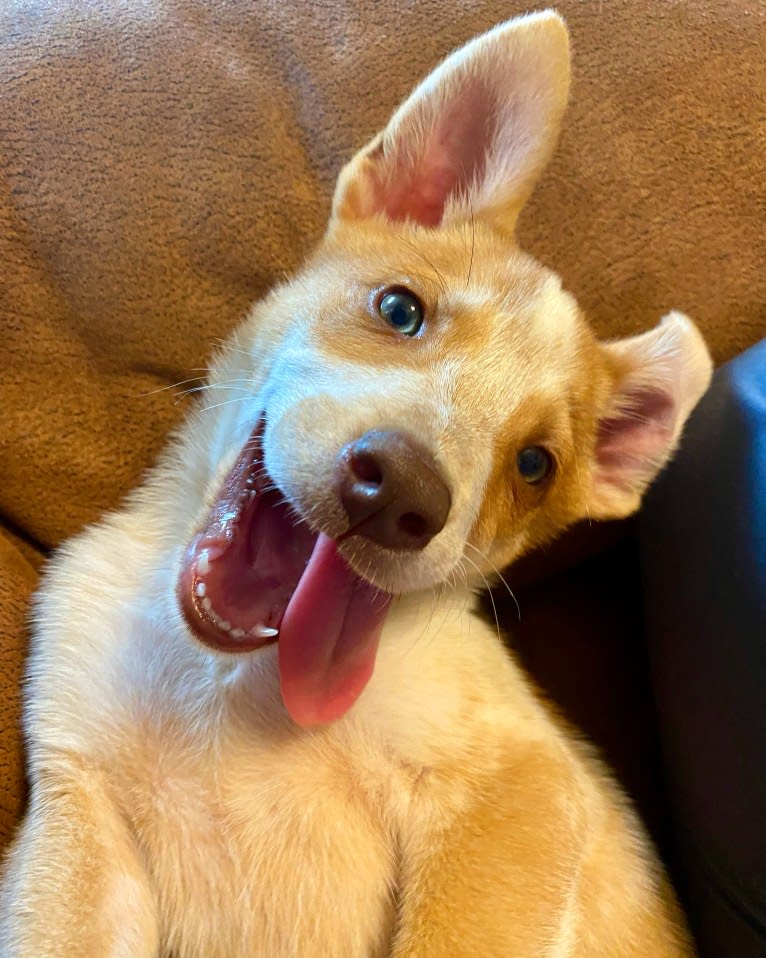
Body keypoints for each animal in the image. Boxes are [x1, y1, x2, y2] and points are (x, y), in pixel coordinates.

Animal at [0, 9, 712, 958]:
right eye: (399, 309)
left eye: (535, 465)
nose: (400, 495)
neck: (234, 681)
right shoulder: (81, 810)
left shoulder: (519, 789)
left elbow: (456, 932)